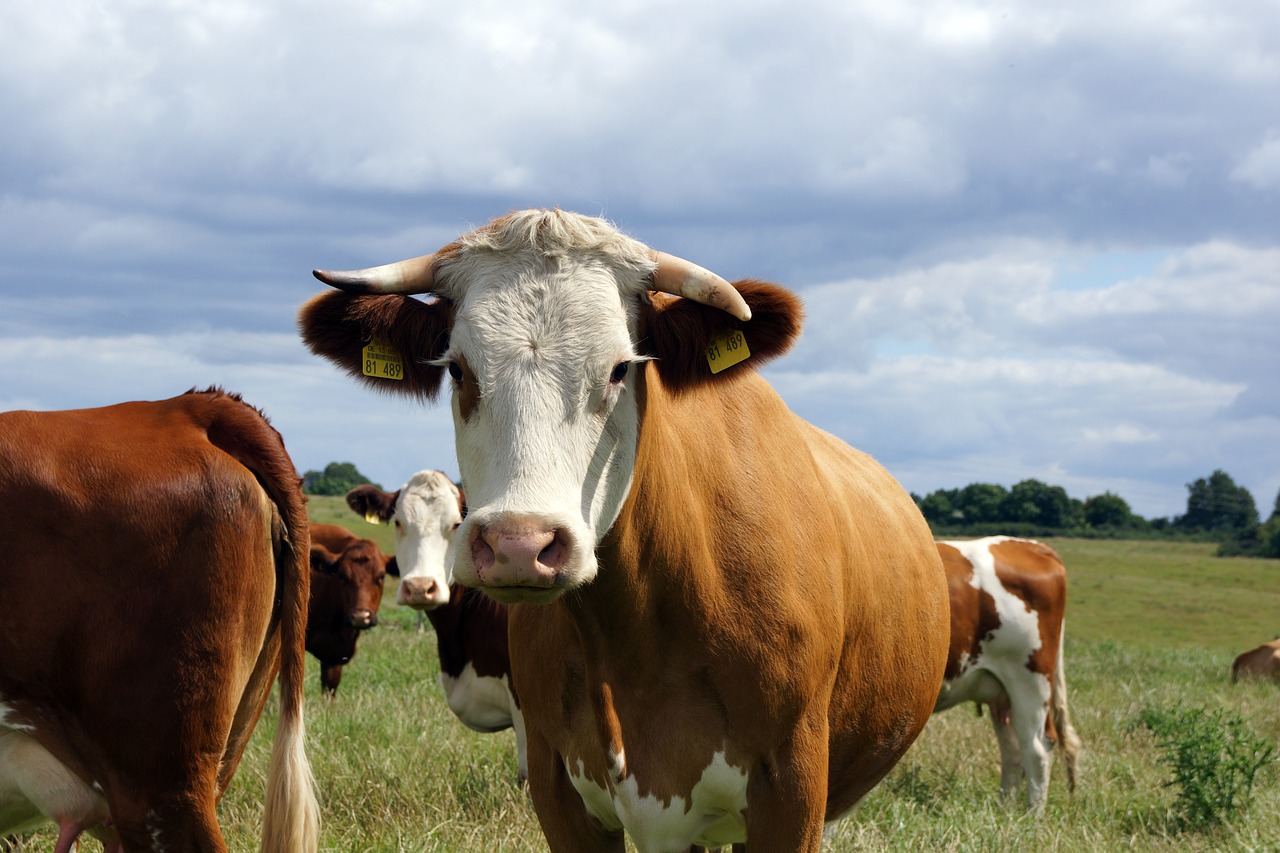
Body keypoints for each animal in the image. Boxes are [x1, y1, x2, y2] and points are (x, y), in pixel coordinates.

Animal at [931, 535, 1080, 809]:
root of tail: (1031, 545)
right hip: (1003, 693)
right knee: (1013, 749)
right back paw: (1005, 810)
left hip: (1029, 682)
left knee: (1037, 749)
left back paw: (1032, 814)